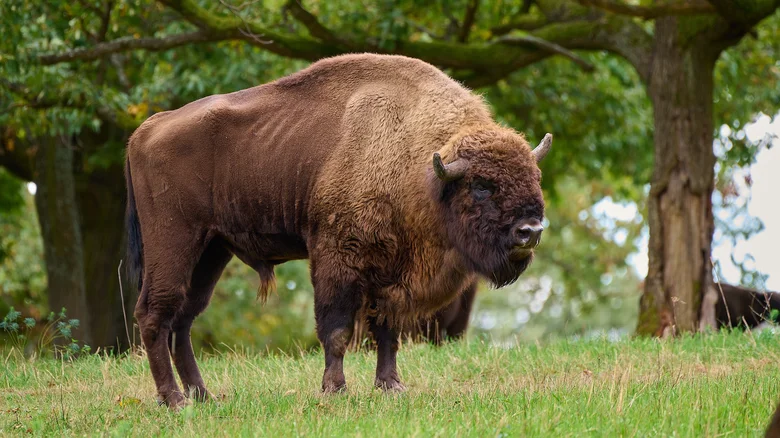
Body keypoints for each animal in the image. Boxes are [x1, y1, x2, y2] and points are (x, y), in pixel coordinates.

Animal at [125, 53, 551, 407]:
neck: (421, 167)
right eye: (481, 186)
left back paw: (203, 395)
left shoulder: (390, 274)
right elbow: (336, 329)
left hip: (212, 249)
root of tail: (147, 128)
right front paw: (335, 389)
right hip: (174, 242)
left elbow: (387, 331)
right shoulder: (337, 259)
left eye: (535, 177)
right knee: (155, 313)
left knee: (184, 317)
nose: (530, 231)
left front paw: (391, 387)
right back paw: (174, 400)